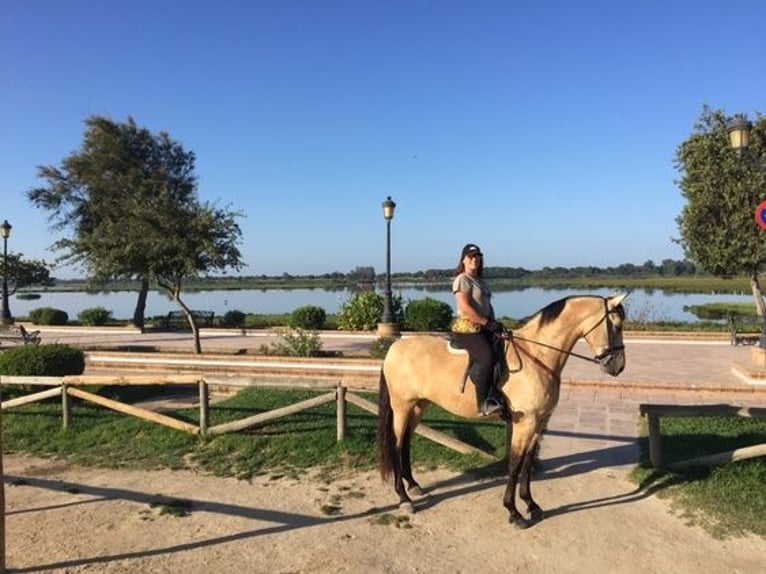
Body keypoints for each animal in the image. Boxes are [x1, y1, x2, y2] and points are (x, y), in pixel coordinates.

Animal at [378, 294, 632, 528]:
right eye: (617, 325)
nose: (619, 366)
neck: (537, 355)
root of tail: (395, 348)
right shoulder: (525, 422)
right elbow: (515, 464)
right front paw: (514, 511)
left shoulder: (539, 422)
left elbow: (527, 463)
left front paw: (531, 505)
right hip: (402, 406)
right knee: (397, 444)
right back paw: (404, 498)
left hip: (418, 405)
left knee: (406, 442)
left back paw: (413, 485)